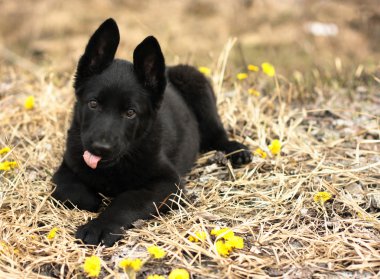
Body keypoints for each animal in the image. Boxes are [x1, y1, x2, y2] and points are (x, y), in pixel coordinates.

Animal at [51, 18, 252, 247]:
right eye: (93, 104)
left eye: (130, 112)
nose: (100, 148)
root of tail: (169, 69)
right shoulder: (66, 168)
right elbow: (71, 192)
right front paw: (94, 199)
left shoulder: (168, 183)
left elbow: (126, 200)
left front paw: (99, 226)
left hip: (197, 84)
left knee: (215, 134)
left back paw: (236, 150)